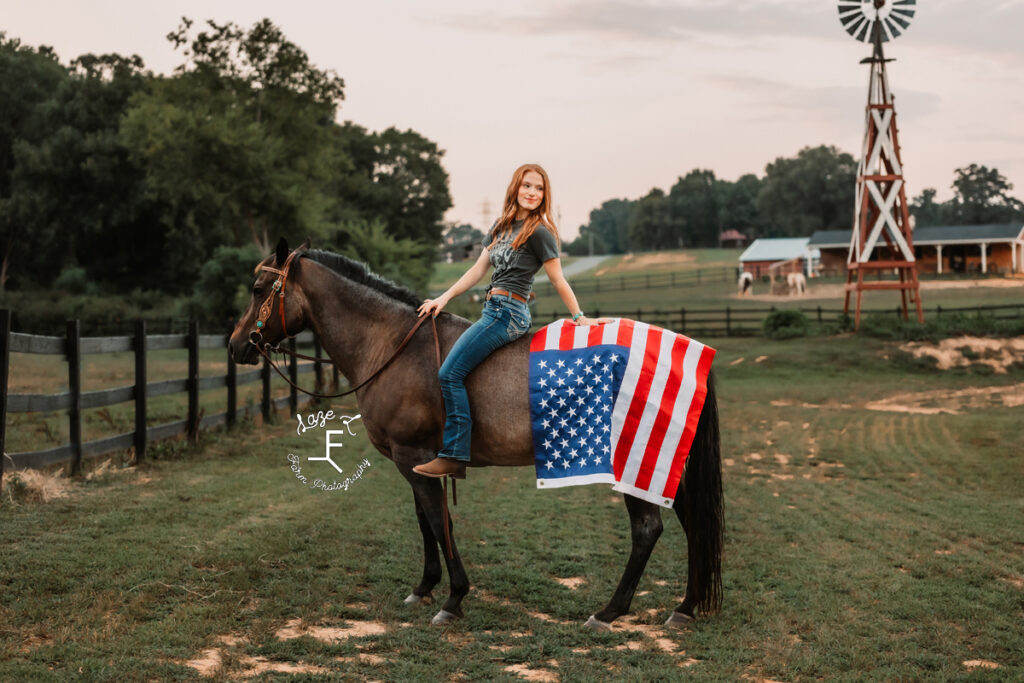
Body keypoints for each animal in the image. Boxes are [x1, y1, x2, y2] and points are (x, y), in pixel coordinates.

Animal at [230, 239, 729, 630]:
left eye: (257, 290)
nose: (236, 346)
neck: (394, 347)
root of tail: (686, 351)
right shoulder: (416, 461)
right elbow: (425, 521)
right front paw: (424, 588)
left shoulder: (413, 455)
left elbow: (438, 523)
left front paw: (453, 598)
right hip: (661, 461)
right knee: (692, 524)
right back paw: (685, 607)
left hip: (634, 462)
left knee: (648, 529)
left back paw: (609, 612)